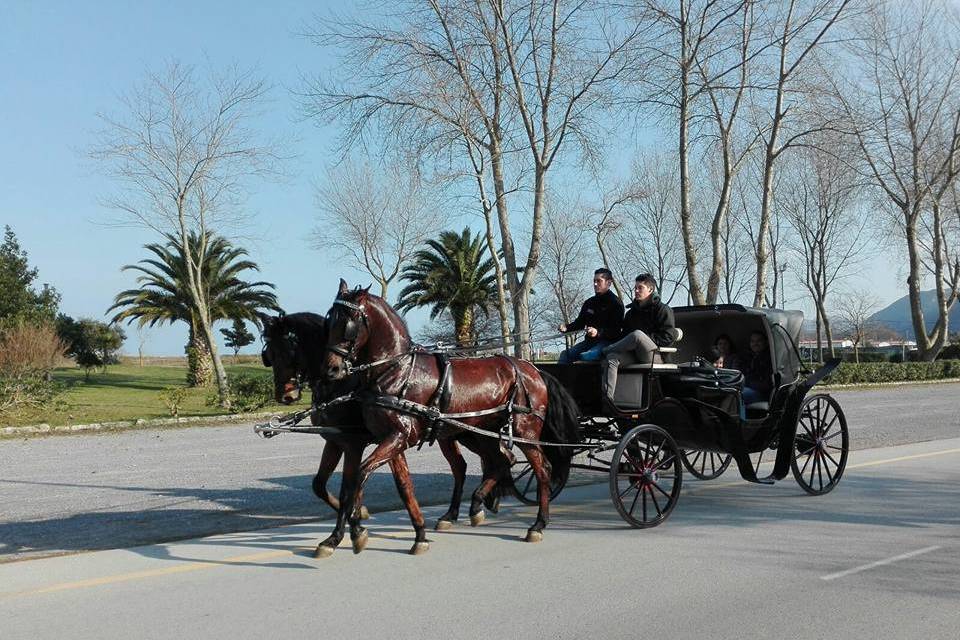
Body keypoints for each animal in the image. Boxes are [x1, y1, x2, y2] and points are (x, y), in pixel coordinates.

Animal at [258, 310, 492, 556]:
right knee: (464, 466)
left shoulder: (355, 443)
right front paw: (352, 521)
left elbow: (349, 488)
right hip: (451, 434)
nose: (285, 396)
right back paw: (456, 512)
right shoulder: (335, 441)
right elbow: (320, 484)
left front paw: (351, 525)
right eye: (269, 355)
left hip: (473, 433)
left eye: (288, 350)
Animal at [322, 280, 576, 556]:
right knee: (500, 461)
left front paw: (356, 528)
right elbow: (402, 485)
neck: (397, 371)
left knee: (542, 469)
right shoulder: (391, 440)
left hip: (523, 431)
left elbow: (361, 474)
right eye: (329, 321)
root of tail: (533, 369)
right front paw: (417, 534)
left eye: (348, 323)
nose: (331, 369)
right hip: (479, 433)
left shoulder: (397, 437)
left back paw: (538, 524)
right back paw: (474, 505)